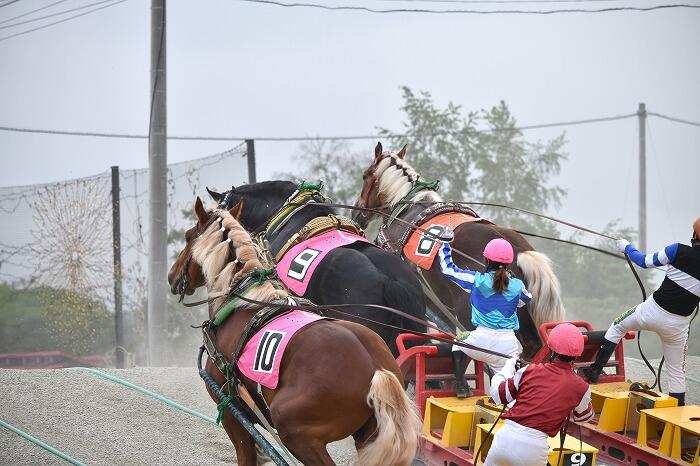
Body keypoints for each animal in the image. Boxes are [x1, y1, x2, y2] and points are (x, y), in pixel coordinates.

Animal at [168, 197, 422, 466]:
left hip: (296, 434)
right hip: (368, 434)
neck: (244, 299)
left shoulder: (232, 413)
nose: (172, 276)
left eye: (188, 236)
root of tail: (376, 370)